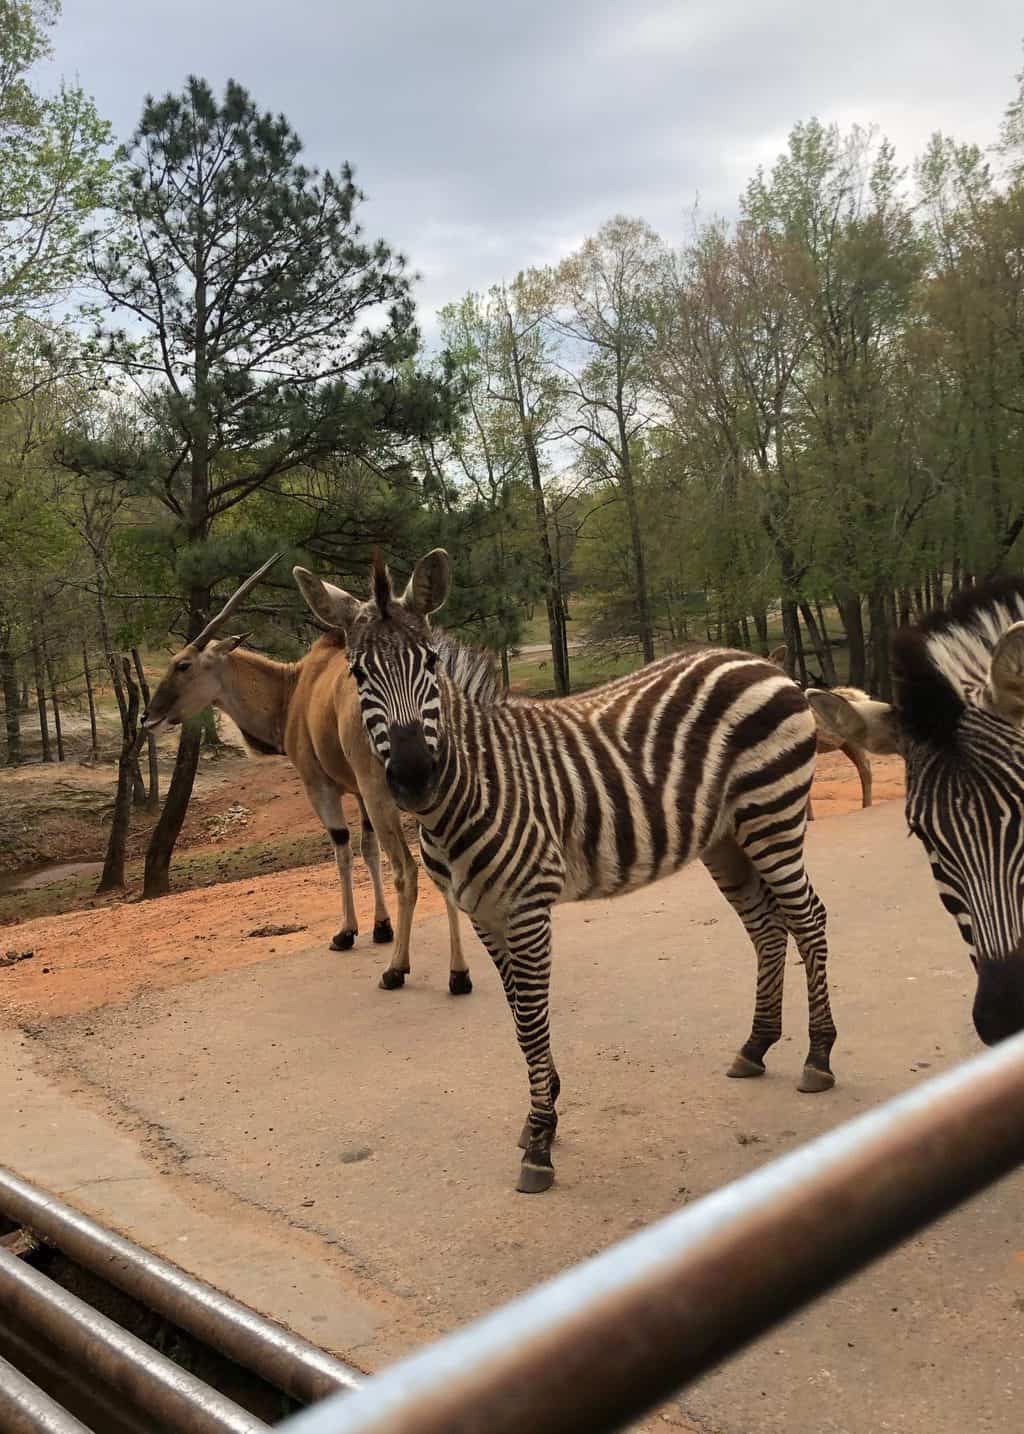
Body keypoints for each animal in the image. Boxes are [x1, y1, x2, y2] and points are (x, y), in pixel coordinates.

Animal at [141, 556, 473, 998]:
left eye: (183, 664)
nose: (148, 716)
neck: (295, 688)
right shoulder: (359, 794)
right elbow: (367, 850)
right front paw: (380, 926)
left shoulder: (324, 788)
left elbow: (343, 848)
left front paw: (348, 932)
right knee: (441, 867)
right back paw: (458, 972)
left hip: (389, 794)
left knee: (407, 868)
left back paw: (397, 969)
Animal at [291, 544, 831, 1187]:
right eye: (358, 674)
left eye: (429, 663)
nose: (415, 776)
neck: (473, 786)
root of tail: (755, 660)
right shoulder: (484, 913)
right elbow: (518, 1015)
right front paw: (540, 1115)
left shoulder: (527, 906)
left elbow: (530, 1017)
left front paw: (541, 1142)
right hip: (726, 839)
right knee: (768, 930)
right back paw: (756, 1046)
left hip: (773, 817)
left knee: (810, 919)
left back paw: (818, 1056)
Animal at [768, 648, 871, 820]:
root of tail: (862, 696)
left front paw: (809, 818)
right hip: (845, 744)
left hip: (853, 741)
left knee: (865, 767)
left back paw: (867, 806)